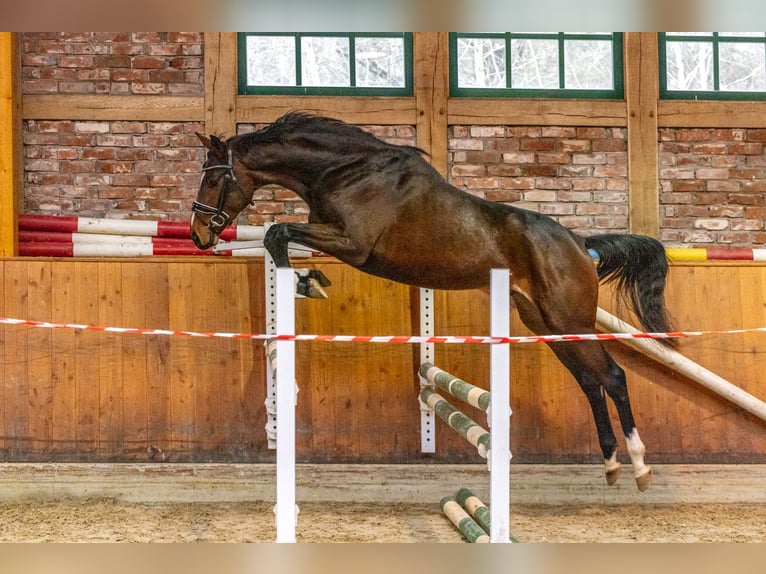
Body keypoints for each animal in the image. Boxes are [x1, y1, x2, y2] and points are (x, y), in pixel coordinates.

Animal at [192, 111, 680, 490]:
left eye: (214, 177)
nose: (198, 234)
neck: (348, 170)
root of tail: (580, 244)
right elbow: (280, 235)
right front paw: (307, 279)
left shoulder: (352, 244)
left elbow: (277, 232)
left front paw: (305, 282)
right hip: (545, 324)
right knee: (590, 383)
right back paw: (611, 465)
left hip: (568, 318)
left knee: (612, 377)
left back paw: (639, 466)